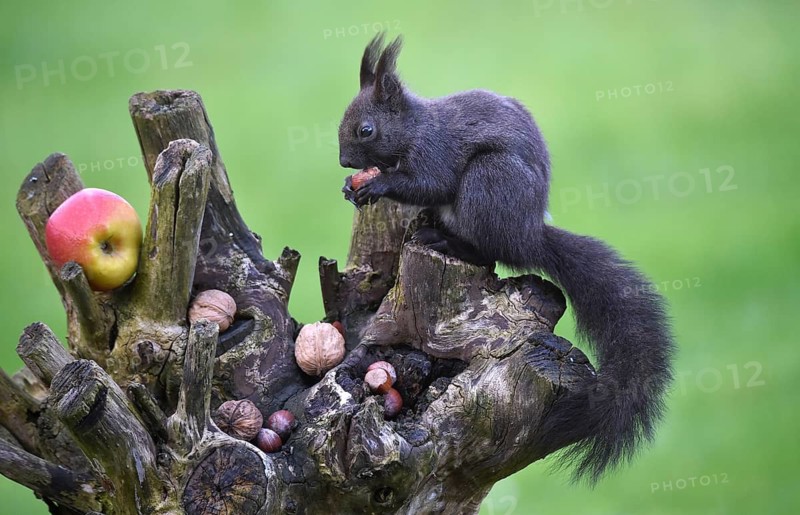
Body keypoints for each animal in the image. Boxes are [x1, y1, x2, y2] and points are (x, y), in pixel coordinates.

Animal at [337, 34, 675, 484]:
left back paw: (447, 242)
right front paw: (350, 186)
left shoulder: (435, 152)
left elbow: (430, 182)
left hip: (490, 182)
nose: (343, 161)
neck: (414, 129)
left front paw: (377, 185)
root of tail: (530, 237)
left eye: (366, 129)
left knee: (488, 250)